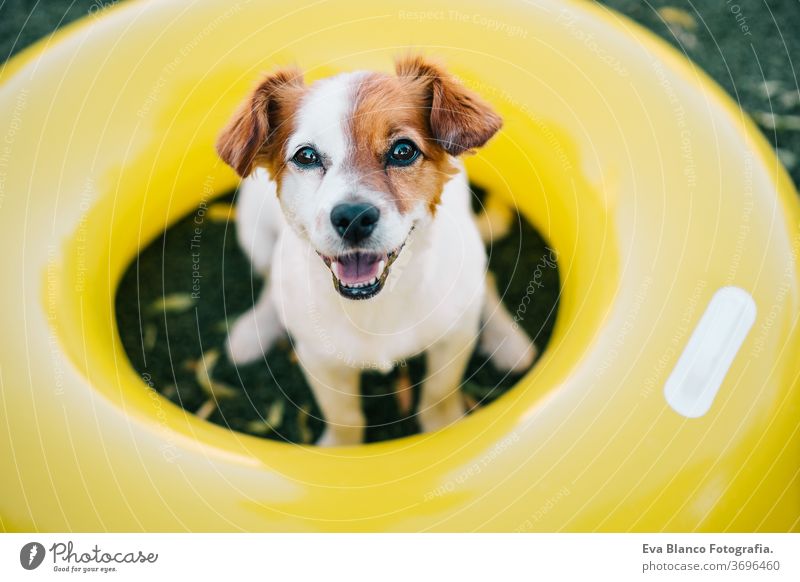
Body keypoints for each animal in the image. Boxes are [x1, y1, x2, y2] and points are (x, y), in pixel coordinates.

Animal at [216, 54, 536, 448]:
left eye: (403, 150)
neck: (375, 305)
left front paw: (443, 430)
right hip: (255, 236)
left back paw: (507, 340)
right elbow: (344, 417)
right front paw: (341, 450)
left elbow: (439, 394)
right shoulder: (318, 358)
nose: (353, 218)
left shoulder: (453, 340)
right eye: (306, 156)